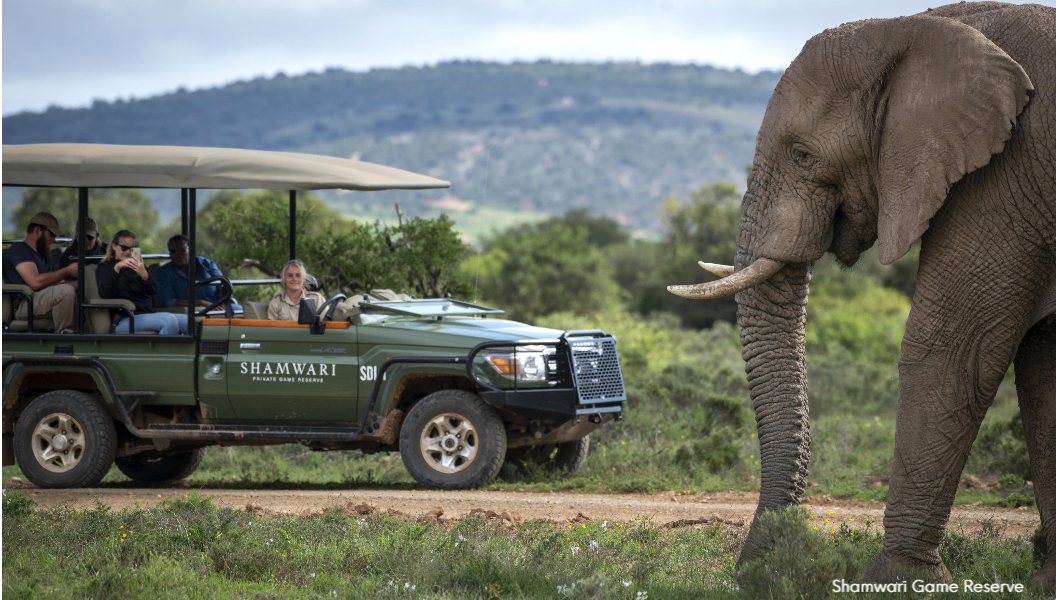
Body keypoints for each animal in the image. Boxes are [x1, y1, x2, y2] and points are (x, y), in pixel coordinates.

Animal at [669, 0, 1051, 589]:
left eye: (802, 155)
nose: (749, 572)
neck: (923, 25)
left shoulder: (1005, 171)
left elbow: (951, 351)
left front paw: (903, 582)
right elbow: (1040, 368)